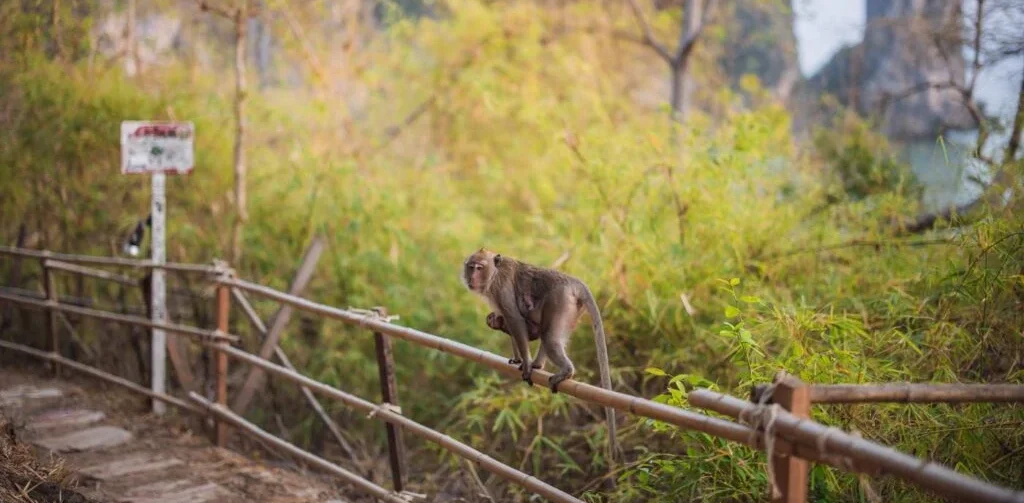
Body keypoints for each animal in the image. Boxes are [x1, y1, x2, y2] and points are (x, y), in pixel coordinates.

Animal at [461, 248, 619, 460]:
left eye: (479, 267)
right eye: (471, 267)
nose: (471, 277)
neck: (495, 273)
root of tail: (572, 281)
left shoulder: (501, 288)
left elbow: (515, 319)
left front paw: (526, 364)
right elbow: (511, 324)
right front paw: (519, 358)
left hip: (560, 300)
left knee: (550, 339)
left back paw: (564, 371)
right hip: (573, 309)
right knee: (548, 334)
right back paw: (539, 364)